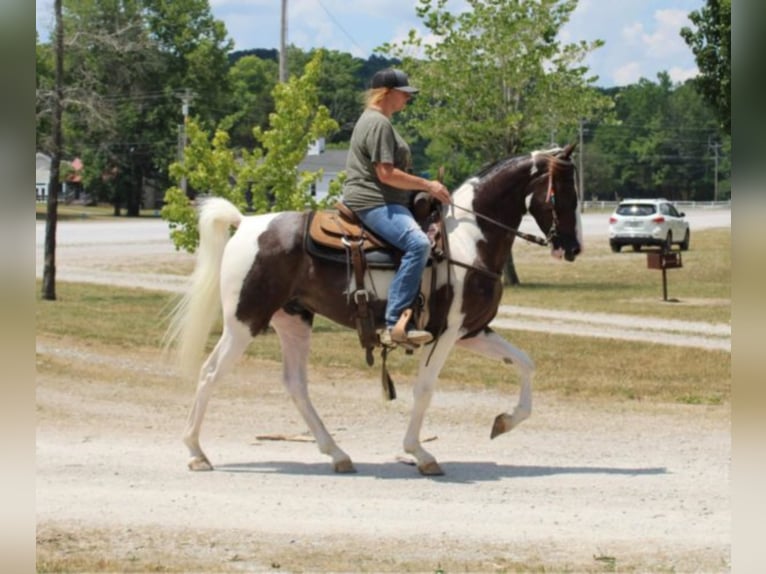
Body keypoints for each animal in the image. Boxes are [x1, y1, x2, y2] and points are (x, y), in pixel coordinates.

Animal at [164, 143, 584, 476]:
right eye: (563, 194)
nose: (573, 248)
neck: (469, 239)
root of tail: (247, 223)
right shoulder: (444, 334)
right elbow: (425, 389)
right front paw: (420, 454)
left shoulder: (472, 332)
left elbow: (525, 363)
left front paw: (505, 422)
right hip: (244, 321)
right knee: (210, 373)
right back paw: (196, 452)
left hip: (293, 321)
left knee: (296, 384)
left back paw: (337, 453)